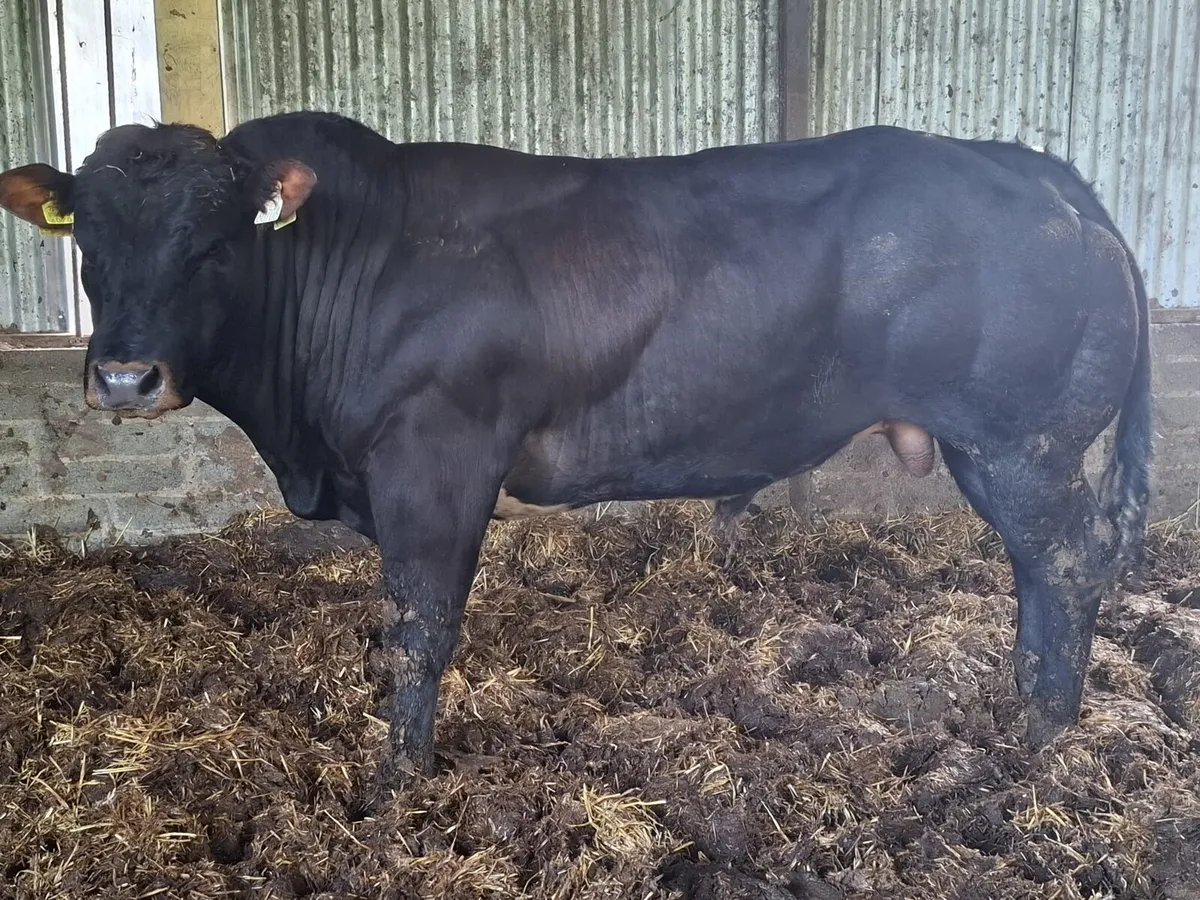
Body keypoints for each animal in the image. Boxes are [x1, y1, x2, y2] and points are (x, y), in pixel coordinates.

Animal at [0, 112, 1151, 799]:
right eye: (86, 237)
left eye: (215, 236)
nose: (124, 379)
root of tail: (1022, 162)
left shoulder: (436, 459)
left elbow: (421, 628)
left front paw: (398, 784)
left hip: (1021, 441)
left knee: (1065, 563)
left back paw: (1044, 732)